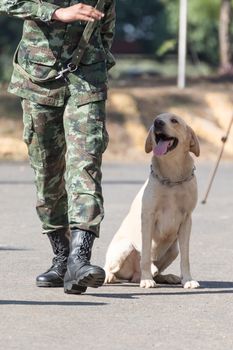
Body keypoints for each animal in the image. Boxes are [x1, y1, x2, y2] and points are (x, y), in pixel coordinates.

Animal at [104, 113, 199, 290]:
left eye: (174, 120)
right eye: (158, 118)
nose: (157, 123)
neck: (172, 177)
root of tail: (133, 276)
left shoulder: (187, 220)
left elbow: (186, 257)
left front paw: (188, 279)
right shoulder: (148, 217)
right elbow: (146, 254)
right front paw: (147, 279)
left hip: (173, 249)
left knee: (157, 270)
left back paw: (165, 277)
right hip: (124, 246)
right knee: (110, 267)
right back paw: (111, 276)